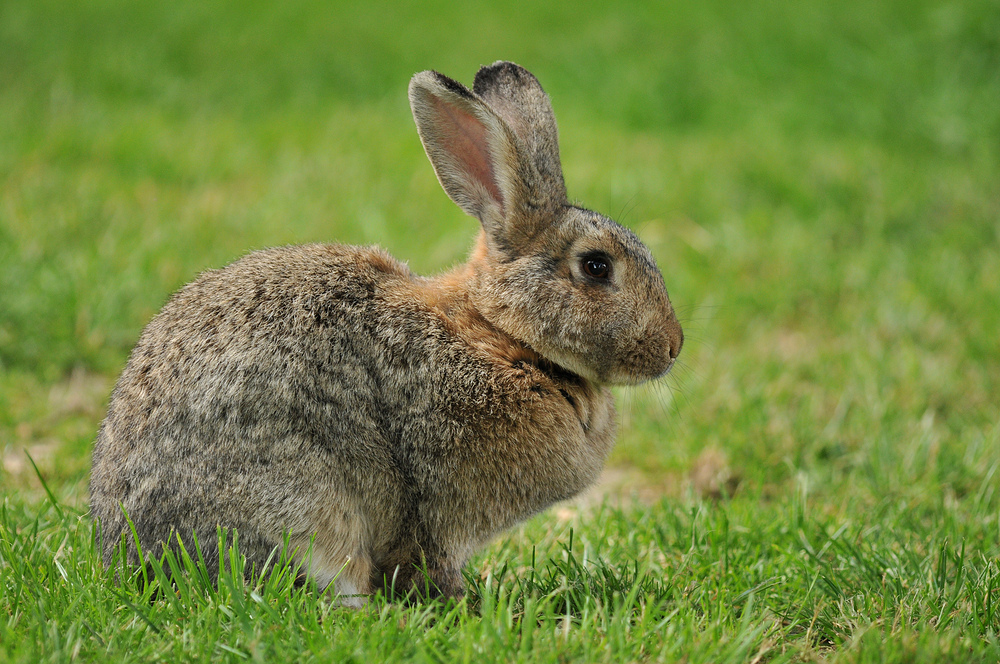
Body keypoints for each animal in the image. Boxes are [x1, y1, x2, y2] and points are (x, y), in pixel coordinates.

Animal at [90, 61, 684, 600]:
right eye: (596, 267)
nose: (673, 347)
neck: (500, 335)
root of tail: (135, 561)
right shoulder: (436, 504)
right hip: (306, 510)